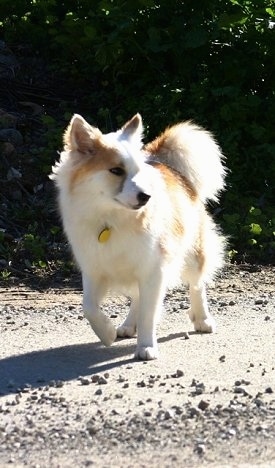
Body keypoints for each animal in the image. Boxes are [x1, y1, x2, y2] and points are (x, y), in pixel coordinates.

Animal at [50, 112, 227, 358]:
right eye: (116, 171)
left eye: (138, 172)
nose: (146, 197)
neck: (111, 218)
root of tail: (166, 164)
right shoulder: (94, 269)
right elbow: (89, 308)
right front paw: (107, 333)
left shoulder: (154, 269)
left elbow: (148, 314)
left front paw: (146, 346)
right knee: (136, 297)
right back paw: (127, 325)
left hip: (192, 252)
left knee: (196, 284)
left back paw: (202, 319)